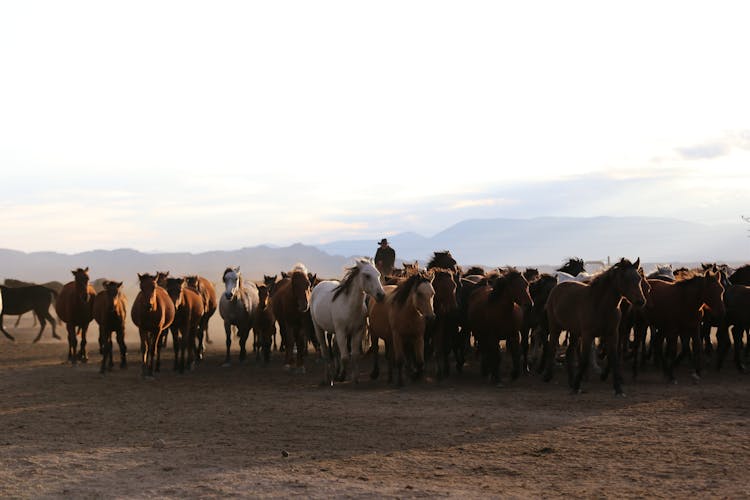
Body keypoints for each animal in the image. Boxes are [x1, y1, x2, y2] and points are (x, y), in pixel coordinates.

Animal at [544, 258, 648, 394]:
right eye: (625, 278)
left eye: (639, 279)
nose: (641, 301)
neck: (600, 305)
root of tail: (557, 288)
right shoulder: (588, 335)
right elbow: (584, 360)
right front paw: (577, 386)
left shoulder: (612, 335)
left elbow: (614, 359)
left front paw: (618, 389)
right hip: (555, 327)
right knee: (552, 348)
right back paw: (548, 377)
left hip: (574, 332)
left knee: (569, 353)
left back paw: (571, 381)